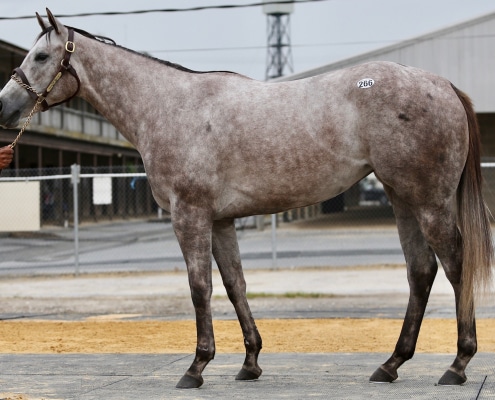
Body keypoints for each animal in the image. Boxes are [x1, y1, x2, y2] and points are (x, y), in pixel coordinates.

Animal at [0, 8, 492, 390]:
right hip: (402, 198)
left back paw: (457, 365)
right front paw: (250, 362)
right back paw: (390, 365)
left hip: (428, 202)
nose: (4, 107)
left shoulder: (190, 216)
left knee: (454, 266)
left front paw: (196, 367)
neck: (170, 107)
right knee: (421, 271)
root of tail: (442, 84)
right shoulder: (220, 221)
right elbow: (235, 284)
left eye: (41, 56)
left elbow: (200, 287)